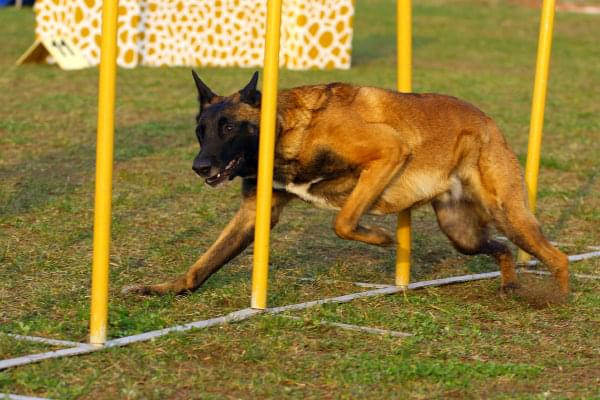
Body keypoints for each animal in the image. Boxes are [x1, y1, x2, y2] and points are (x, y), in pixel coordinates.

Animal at [120, 72, 568, 296]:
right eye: (201, 131)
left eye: (228, 127)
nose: (199, 167)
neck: (286, 131)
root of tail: (487, 121)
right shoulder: (254, 214)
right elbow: (205, 262)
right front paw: (165, 288)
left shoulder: (387, 154)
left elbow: (343, 221)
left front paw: (383, 239)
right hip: (461, 231)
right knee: (502, 248)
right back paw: (509, 283)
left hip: (507, 213)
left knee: (556, 256)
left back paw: (558, 297)